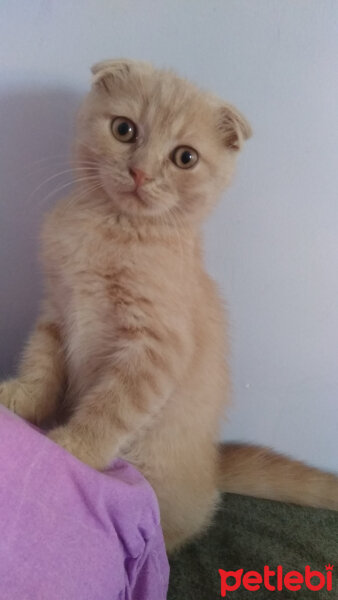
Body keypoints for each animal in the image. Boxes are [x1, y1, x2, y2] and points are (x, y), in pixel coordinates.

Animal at [0, 58, 338, 552]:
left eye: (185, 158)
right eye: (124, 129)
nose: (140, 172)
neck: (113, 229)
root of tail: (212, 469)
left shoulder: (156, 348)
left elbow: (111, 407)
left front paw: (73, 448)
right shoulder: (57, 311)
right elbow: (42, 366)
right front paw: (21, 401)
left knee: (178, 529)